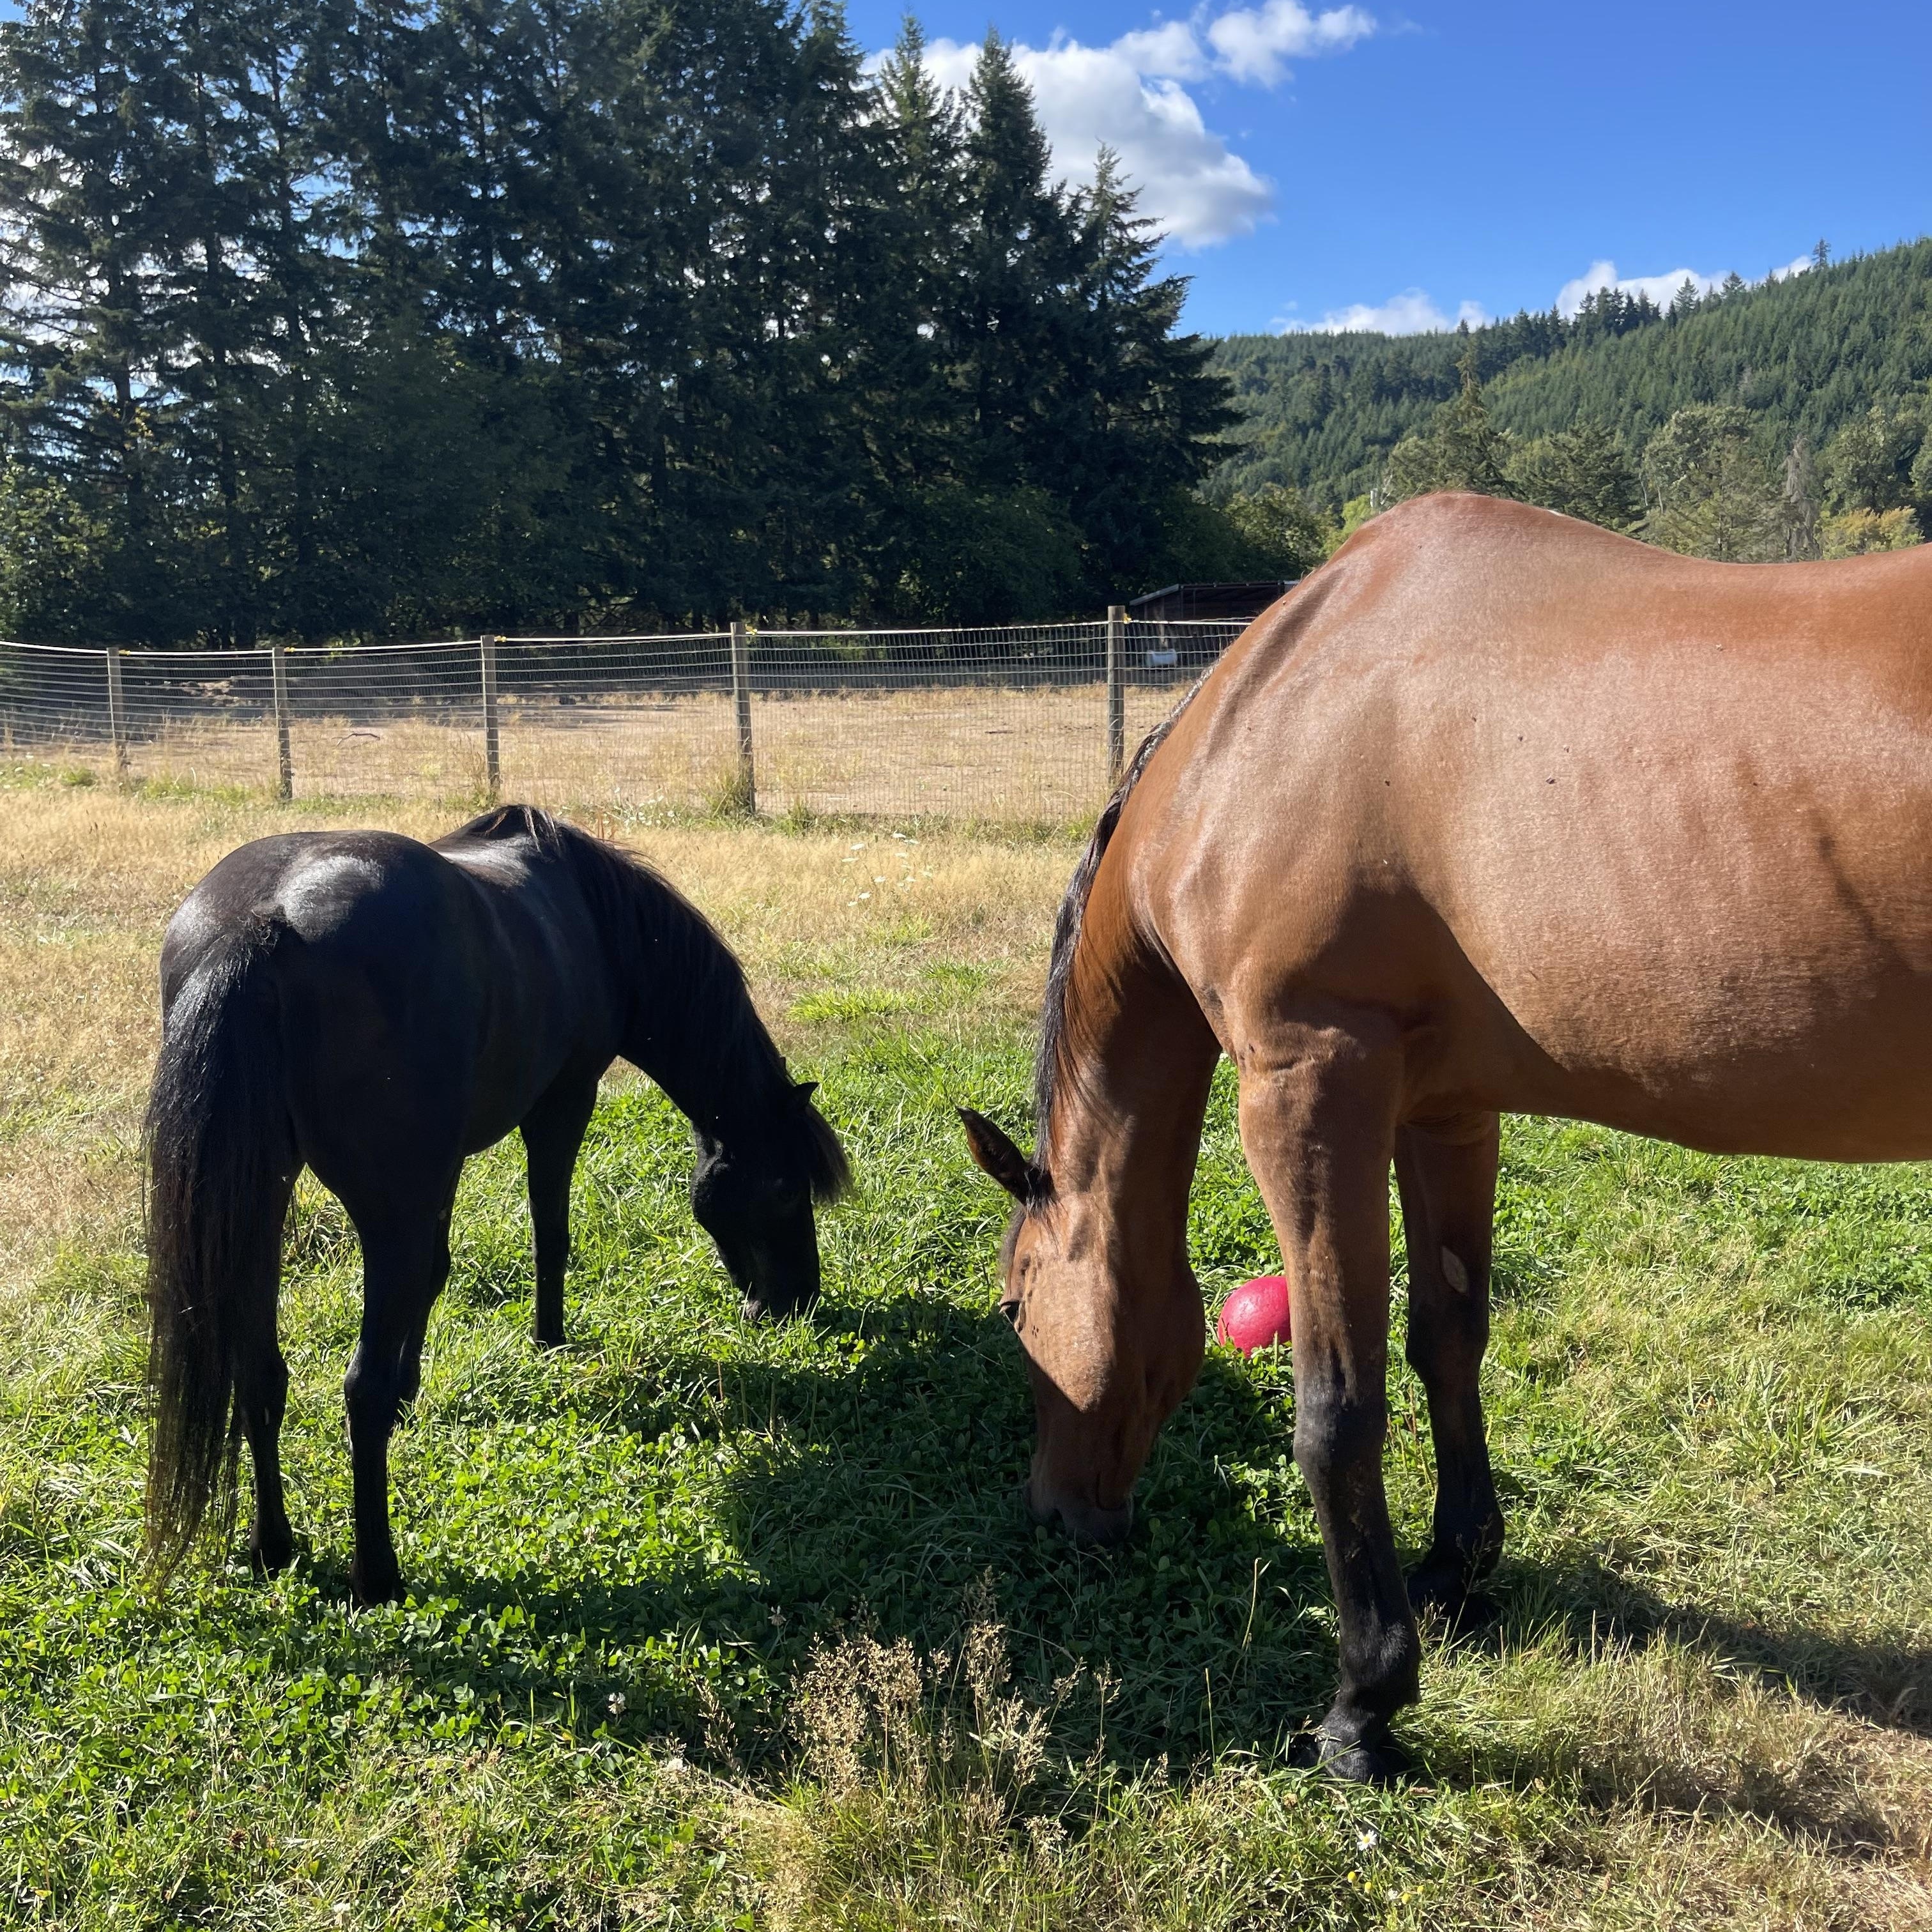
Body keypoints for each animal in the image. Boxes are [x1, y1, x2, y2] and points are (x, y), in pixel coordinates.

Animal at [144, 804, 848, 1604]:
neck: (598, 918)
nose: (798, 1299)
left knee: (262, 1374)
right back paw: (377, 1574)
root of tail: (266, 921)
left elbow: (436, 1276)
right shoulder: (561, 1104)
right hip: (384, 1209)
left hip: (262, 1202)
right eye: (787, 1188)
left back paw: (274, 1547)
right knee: (357, 1389)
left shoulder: (441, 1168)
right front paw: (550, 1339)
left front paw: (415, 1385)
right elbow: (551, 1230)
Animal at [958, 493, 1932, 1781]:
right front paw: (1458, 1572)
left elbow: (1337, 1406)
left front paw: (1365, 1701)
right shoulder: (1443, 1111)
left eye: (1016, 1308)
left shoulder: (1308, 1087)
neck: (1266, 716)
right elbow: (1447, 1338)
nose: (1054, 1510)